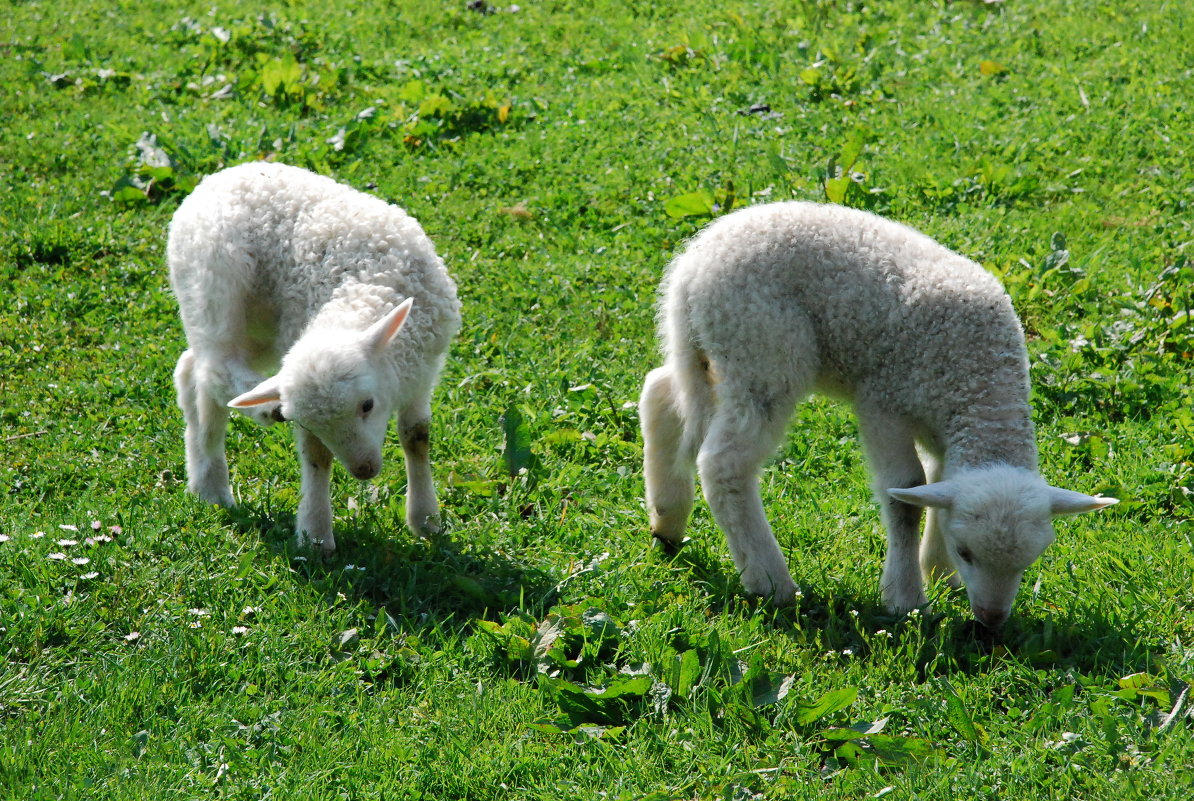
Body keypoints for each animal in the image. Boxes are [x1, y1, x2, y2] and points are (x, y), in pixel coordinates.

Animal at [168, 161, 460, 553]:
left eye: (367, 405)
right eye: (309, 424)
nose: (364, 471)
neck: (365, 285)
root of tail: (219, 177)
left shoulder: (422, 371)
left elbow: (416, 436)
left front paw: (426, 521)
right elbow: (316, 456)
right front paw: (316, 535)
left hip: (257, 328)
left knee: (191, 370)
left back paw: (205, 482)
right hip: (214, 287)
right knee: (213, 371)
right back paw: (237, 447)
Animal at [639, 200, 1112, 625]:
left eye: (1030, 561)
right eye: (967, 552)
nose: (991, 621)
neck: (981, 386)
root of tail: (691, 266)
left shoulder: (945, 430)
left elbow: (937, 486)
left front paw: (939, 574)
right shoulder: (882, 404)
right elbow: (905, 492)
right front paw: (906, 598)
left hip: (710, 351)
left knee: (660, 393)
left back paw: (667, 521)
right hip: (762, 350)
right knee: (724, 464)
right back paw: (771, 582)